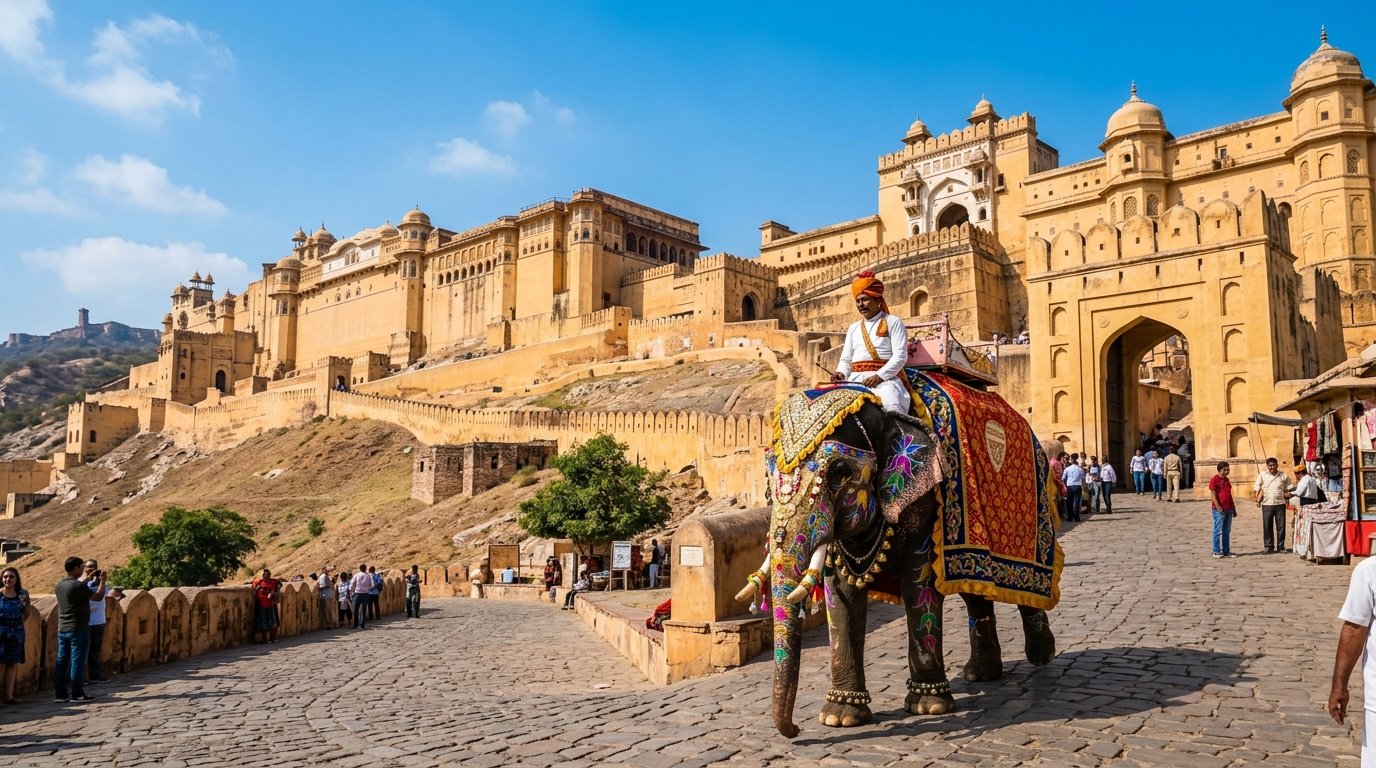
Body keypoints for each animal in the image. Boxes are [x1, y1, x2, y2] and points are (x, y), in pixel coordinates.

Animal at [736, 385, 1060, 738]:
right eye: (768, 472)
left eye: (838, 473)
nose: (795, 730)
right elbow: (841, 593)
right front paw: (841, 715)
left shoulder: (925, 499)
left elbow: (919, 584)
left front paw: (929, 706)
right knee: (974, 590)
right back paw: (981, 673)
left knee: (1022, 589)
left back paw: (1042, 655)